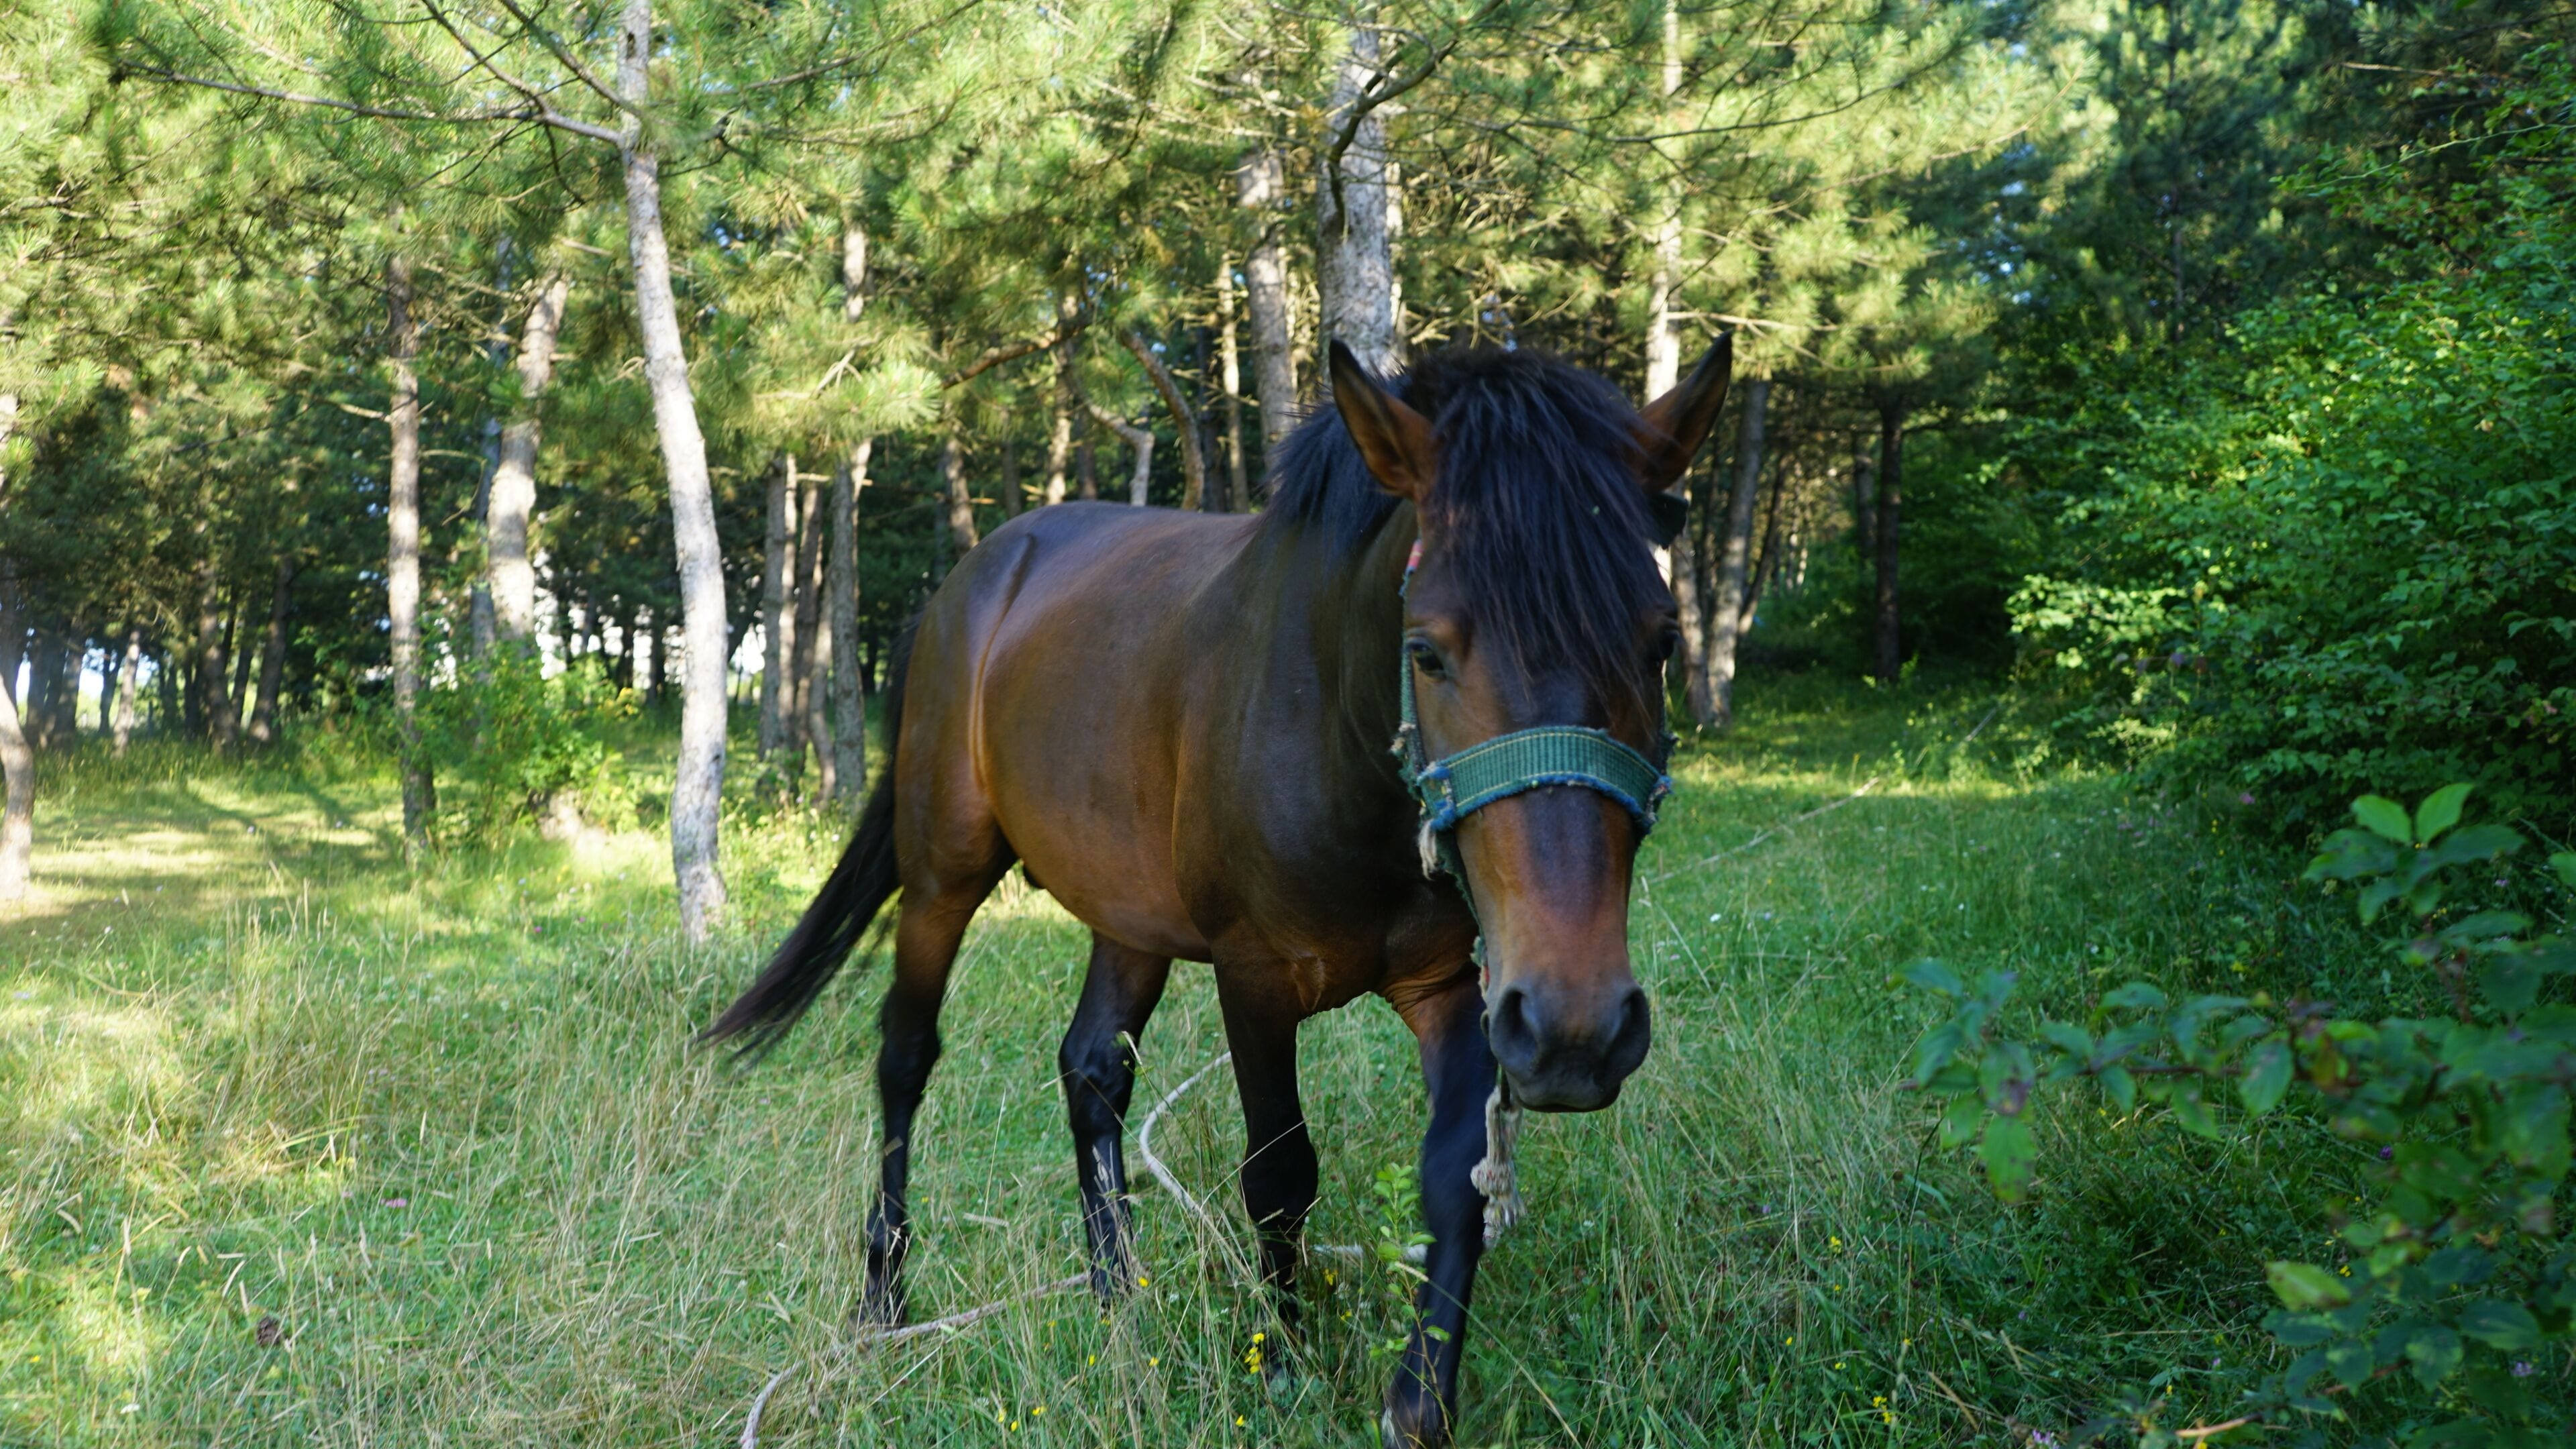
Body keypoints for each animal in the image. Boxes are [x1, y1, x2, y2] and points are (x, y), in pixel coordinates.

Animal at [705, 335, 1733, 1447]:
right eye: (1426, 650)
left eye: (1662, 642)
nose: (1578, 1032)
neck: (1337, 734)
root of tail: (972, 579)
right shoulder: (1257, 978)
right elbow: (1279, 1176)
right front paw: (1282, 1366)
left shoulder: (1456, 985)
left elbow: (1457, 1174)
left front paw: (1418, 1399)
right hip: (943, 872)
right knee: (905, 1059)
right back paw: (886, 1297)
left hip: (1129, 914)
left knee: (1090, 1072)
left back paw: (1119, 1301)